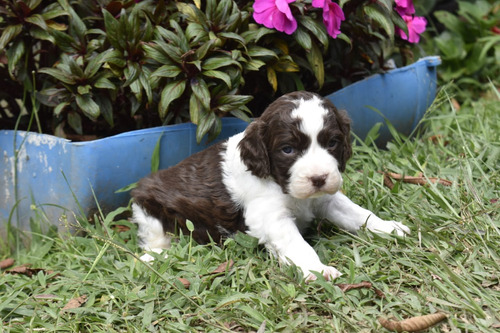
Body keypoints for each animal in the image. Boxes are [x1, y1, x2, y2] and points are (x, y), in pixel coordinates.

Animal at [131, 90, 408, 280]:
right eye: (288, 149)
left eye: (332, 143)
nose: (318, 178)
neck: (281, 183)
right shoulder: (270, 216)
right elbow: (297, 244)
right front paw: (317, 270)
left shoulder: (326, 198)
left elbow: (359, 214)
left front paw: (389, 228)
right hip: (148, 207)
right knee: (155, 240)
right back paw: (154, 256)